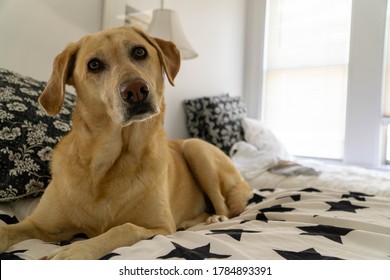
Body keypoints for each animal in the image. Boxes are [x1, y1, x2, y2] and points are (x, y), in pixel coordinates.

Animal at [0, 26, 250, 260]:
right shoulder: (39, 224)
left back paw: (214, 218)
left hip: (195, 148)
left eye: (139, 52)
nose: (135, 90)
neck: (109, 164)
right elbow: (6, 229)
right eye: (94, 65)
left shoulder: (159, 227)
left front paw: (74, 251)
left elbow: (123, 228)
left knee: (226, 207)